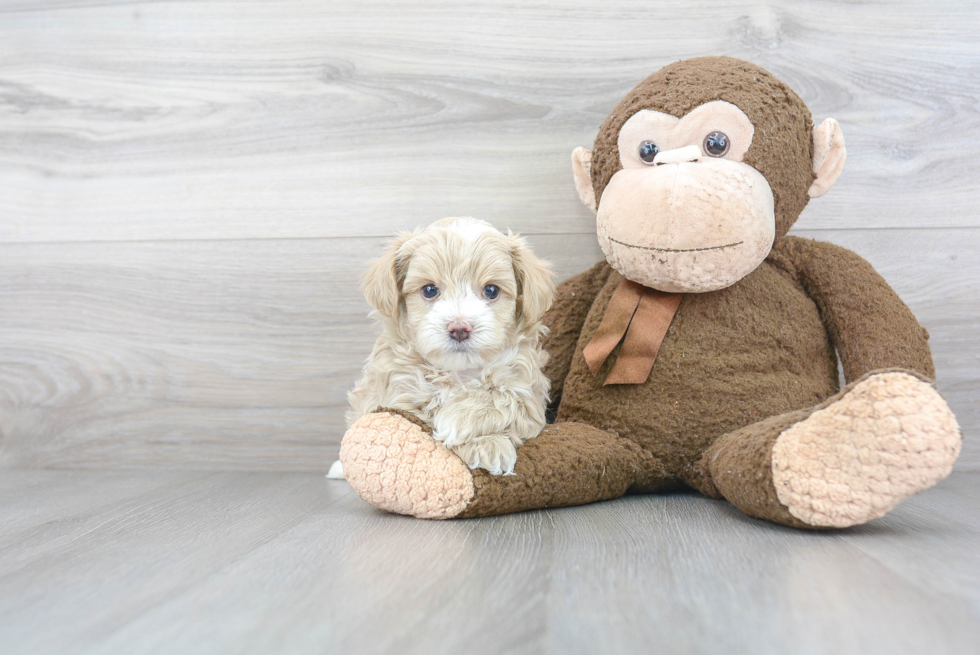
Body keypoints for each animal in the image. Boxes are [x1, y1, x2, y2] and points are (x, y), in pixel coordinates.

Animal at [340, 219, 556, 476]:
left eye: (491, 290)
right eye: (429, 290)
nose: (459, 328)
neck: (459, 372)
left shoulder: (530, 394)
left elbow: (505, 396)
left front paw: (463, 421)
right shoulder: (394, 393)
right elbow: (425, 412)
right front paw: (486, 443)